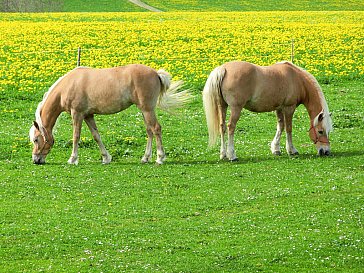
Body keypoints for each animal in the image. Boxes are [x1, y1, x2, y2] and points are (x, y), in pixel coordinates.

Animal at [29, 64, 191, 164]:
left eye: (36, 140)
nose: (36, 160)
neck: (68, 85)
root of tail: (156, 73)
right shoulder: (88, 115)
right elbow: (96, 136)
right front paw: (106, 158)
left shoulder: (77, 114)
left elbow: (76, 136)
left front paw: (72, 159)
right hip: (144, 111)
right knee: (149, 131)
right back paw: (145, 158)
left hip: (147, 110)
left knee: (156, 129)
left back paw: (160, 158)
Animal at [203, 60, 334, 160]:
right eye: (320, 131)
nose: (326, 151)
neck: (297, 79)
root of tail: (223, 69)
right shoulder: (289, 108)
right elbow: (288, 128)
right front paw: (291, 150)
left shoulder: (279, 108)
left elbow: (280, 127)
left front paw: (276, 149)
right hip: (236, 108)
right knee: (231, 127)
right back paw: (232, 155)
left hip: (222, 106)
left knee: (222, 127)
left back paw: (223, 154)